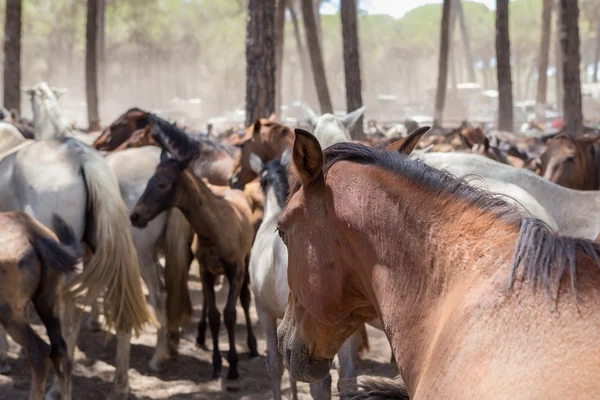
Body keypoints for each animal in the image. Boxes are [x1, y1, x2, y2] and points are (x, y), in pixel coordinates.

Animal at [131, 143, 258, 378]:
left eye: (163, 184)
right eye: (149, 181)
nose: (135, 216)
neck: (214, 230)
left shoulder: (235, 270)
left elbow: (230, 313)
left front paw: (233, 366)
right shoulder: (204, 270)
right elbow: (215, 316)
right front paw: (217, 365)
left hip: (246, 258)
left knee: (245, 297)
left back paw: (252, 346)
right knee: (209, 304)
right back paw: (200, 337)